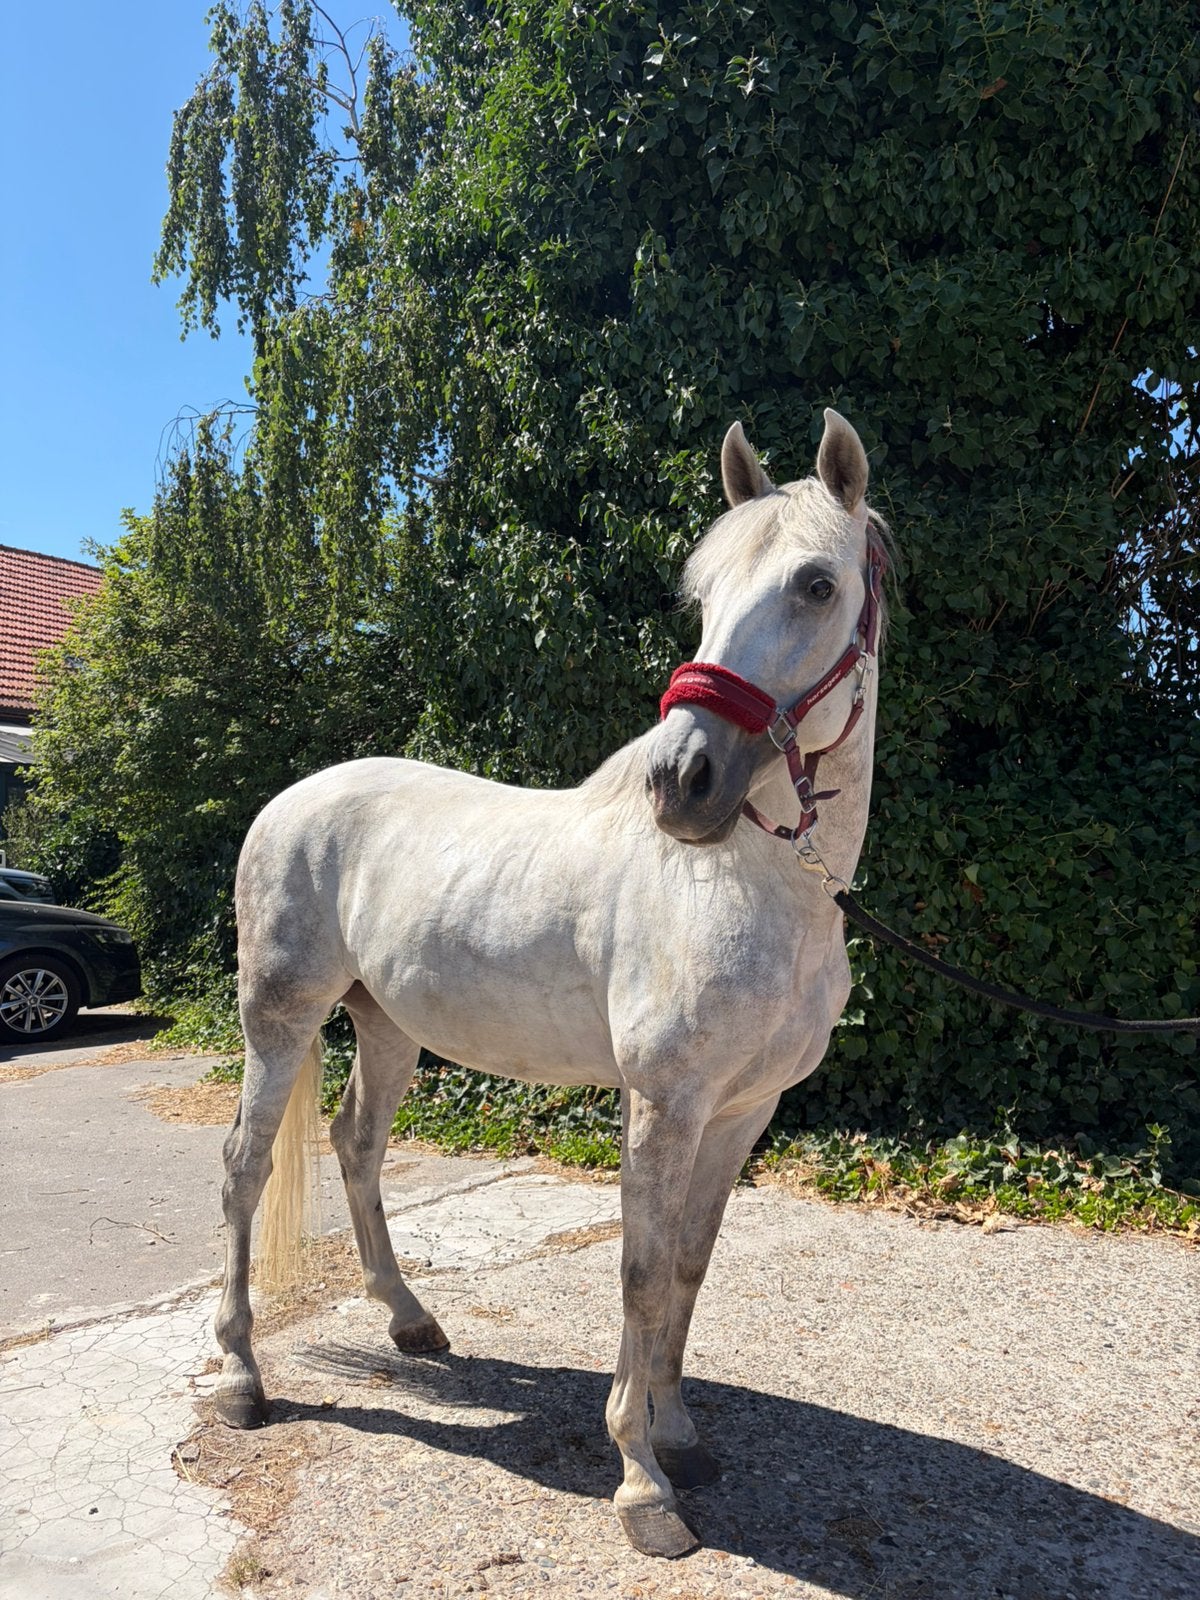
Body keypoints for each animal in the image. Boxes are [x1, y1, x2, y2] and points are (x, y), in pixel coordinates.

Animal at [215, 408, 889, 1558]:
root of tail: (289, 800)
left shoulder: (742, 1112)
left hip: (387, 1027)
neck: (757, 888)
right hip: (283, 1018)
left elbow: (689, 1267)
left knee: (356, 1145)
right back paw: (238, 1378)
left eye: (815, 583)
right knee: (246, 1169)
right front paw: (642, 1483)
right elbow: (640, 1271)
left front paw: (682, 1434)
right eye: (704, 594)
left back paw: (410, 1320)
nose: (682, 783)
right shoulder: (664, 1103)